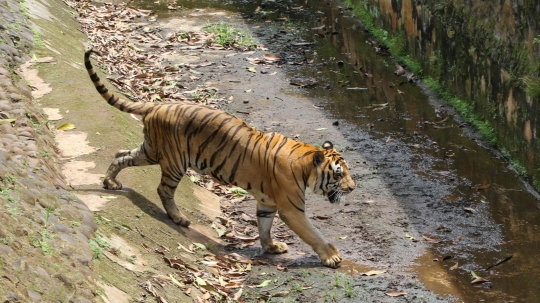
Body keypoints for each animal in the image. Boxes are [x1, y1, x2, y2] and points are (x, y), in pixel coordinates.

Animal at [83, 48, 354, 268]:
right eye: (338, 174)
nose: (352, 188)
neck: (306, 164)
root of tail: (156, 105)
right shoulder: (291, 208)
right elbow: (312, 232)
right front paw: (331, 256)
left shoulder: (266, 203)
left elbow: (264, 227)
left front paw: (271, 247)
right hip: (174, 161)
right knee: (163, 189)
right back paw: (179, 218)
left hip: (151, 150)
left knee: (121, 154)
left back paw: (110, 182)